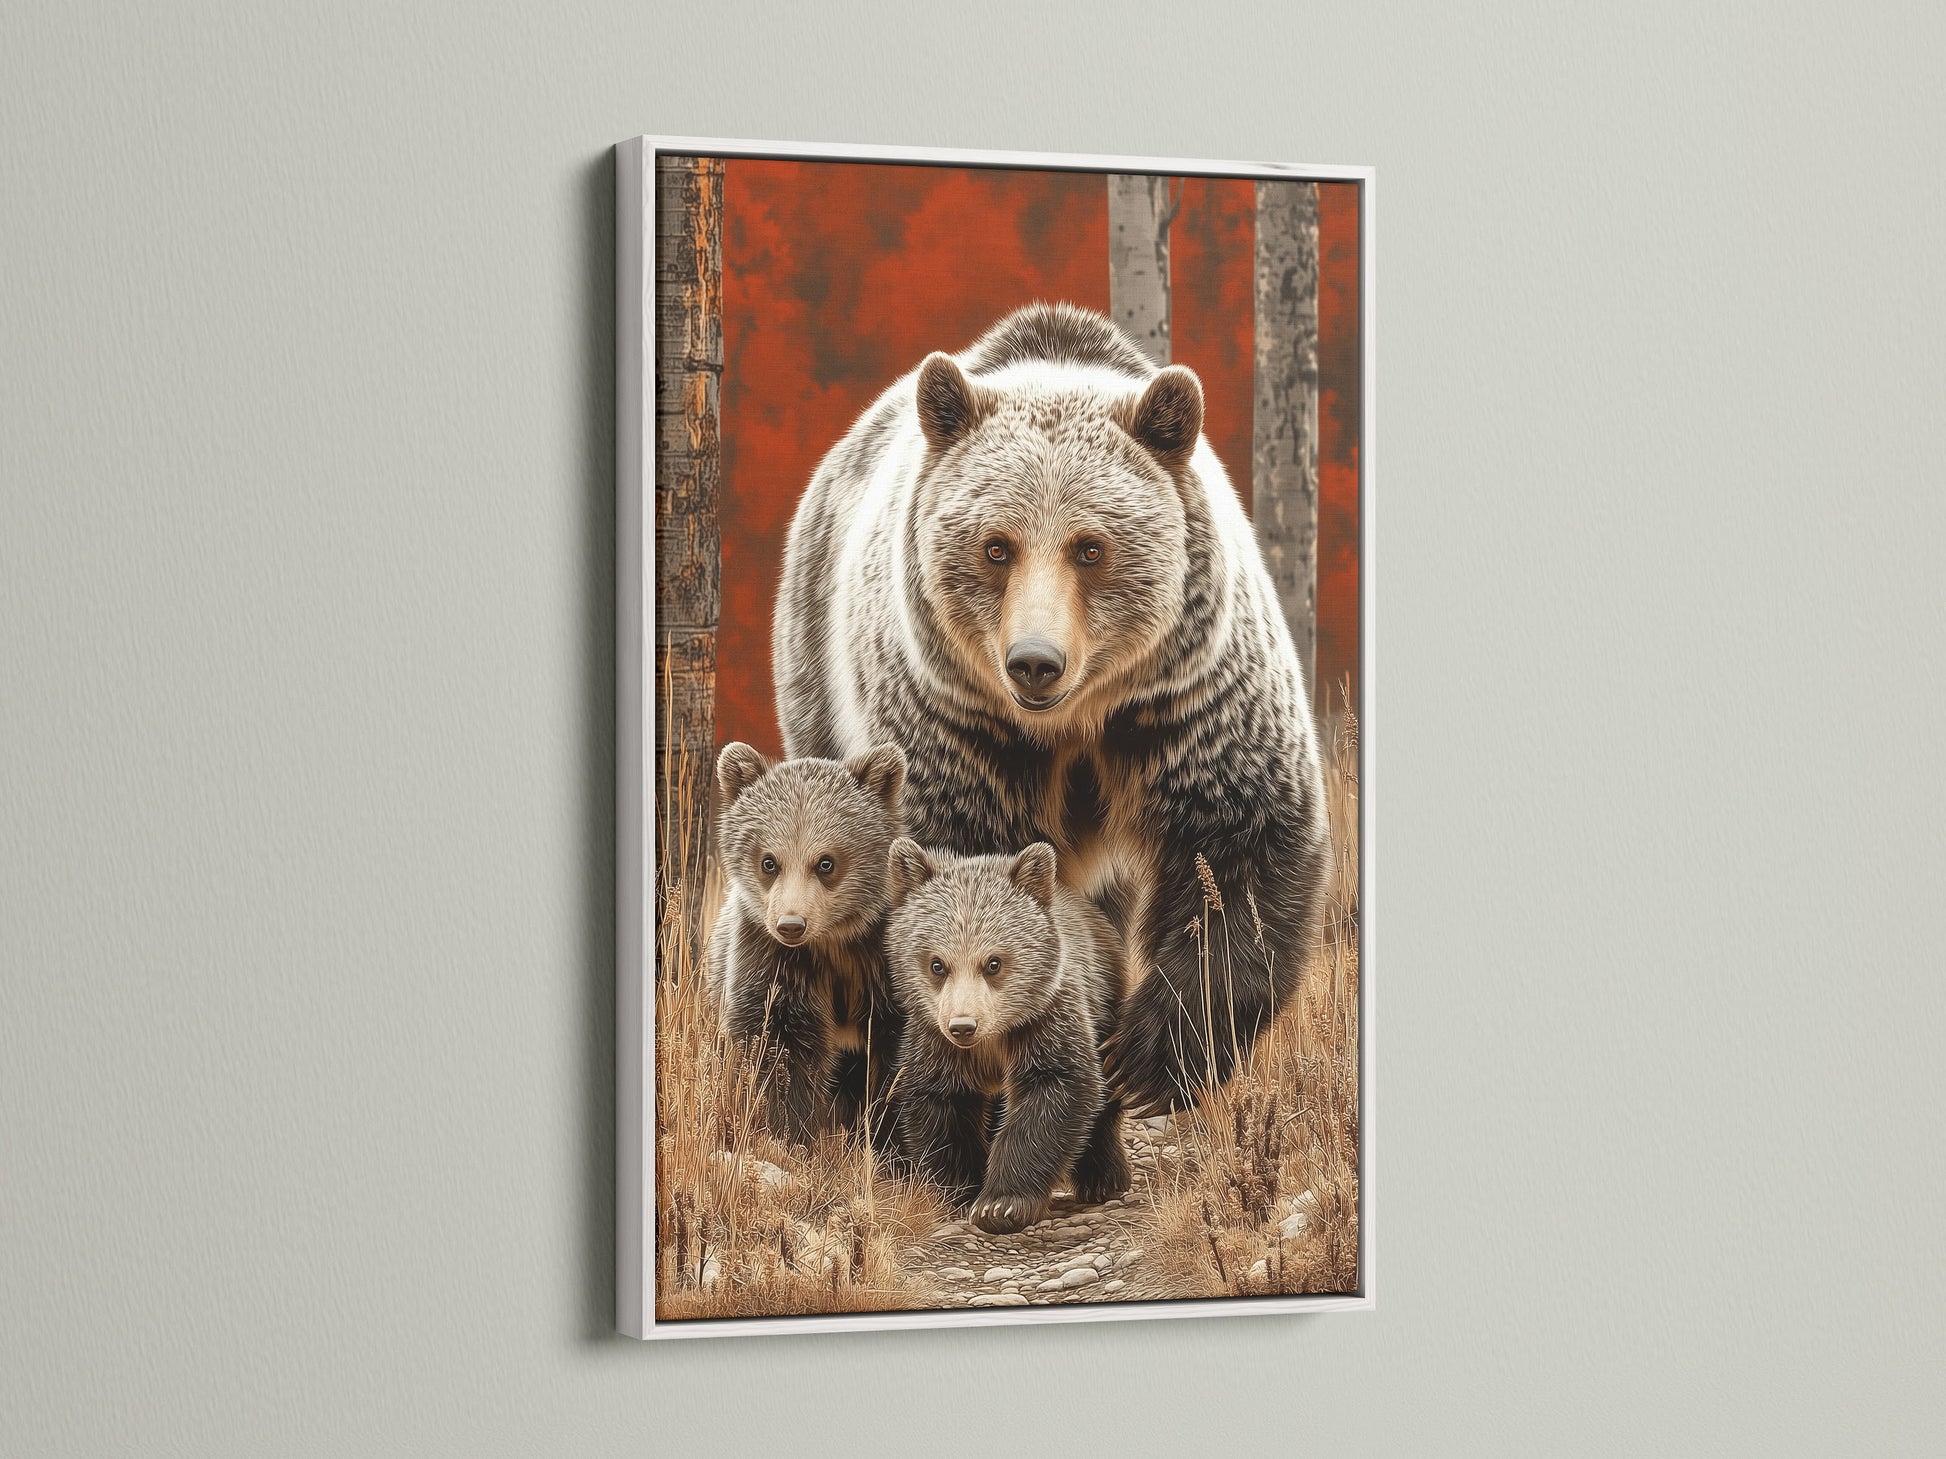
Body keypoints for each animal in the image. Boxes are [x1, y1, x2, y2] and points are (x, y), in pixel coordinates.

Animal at [707, 741, 908, 1147]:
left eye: (825, 862)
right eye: (769, 861)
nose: (791, 925)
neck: (834, 943)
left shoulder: (884, 965)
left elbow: (897, 1063)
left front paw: (888, 1142)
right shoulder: (772, 962)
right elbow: (778, 1049)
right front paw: (791, 1134)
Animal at [773, 301, 1330, 1115]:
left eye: (1090, 547)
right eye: (995, 546)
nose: (1034, 661)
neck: (1071, 724)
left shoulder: (1190, 699)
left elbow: (1240, 848)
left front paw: (1146, 1060)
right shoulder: (956, 723)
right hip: (819, 675)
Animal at [883, 836, 1129, 1234]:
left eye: (993, 963)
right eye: (937, 964)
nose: (963, 1026)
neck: (993, 1040)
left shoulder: (1046, 1021)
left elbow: (1054, 1093)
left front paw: (1001, 1204)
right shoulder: (934, 1042)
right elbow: (941, 1107)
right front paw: (959, 1192)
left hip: (1107, 1000)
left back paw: (1102, 1178)